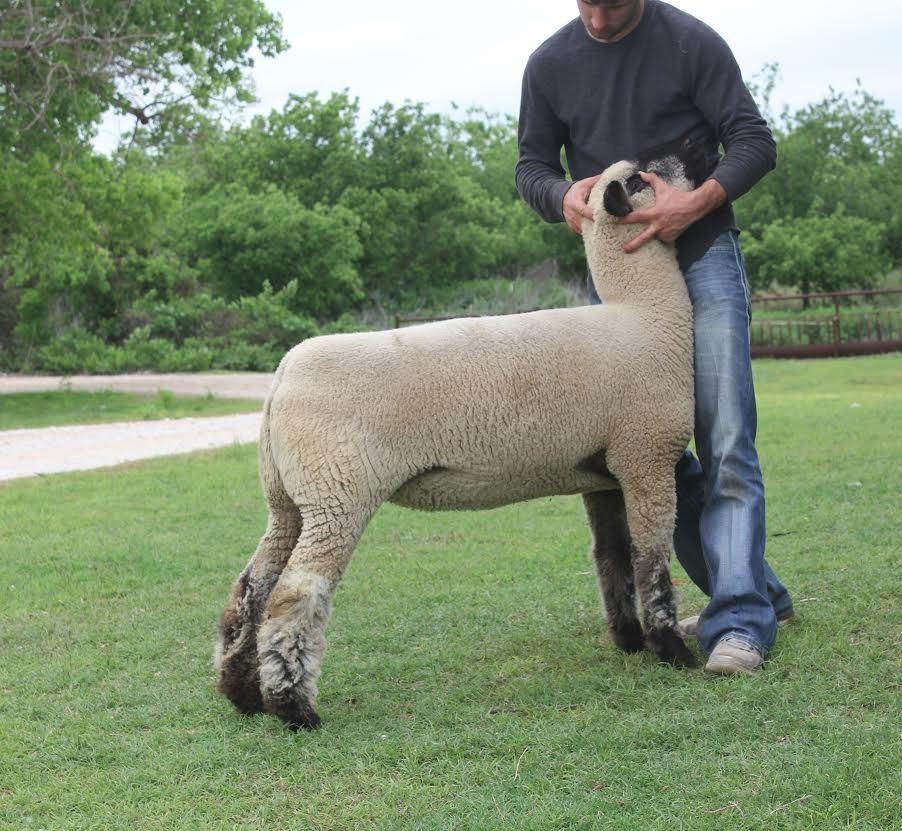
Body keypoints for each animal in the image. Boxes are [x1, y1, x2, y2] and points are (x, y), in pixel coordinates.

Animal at [215, 153, 700, 730]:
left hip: (289, 500)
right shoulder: (647, 455)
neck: (645, 313)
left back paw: (242, 693)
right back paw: (295, 709)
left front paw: (629, 641)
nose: (684, 156)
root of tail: (282, 375)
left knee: (252, 588)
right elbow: (652, 559)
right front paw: (671, 649)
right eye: (640, 178)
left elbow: (612, 557)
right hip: (337, 494)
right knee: (294, 595)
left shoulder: (603, 472)